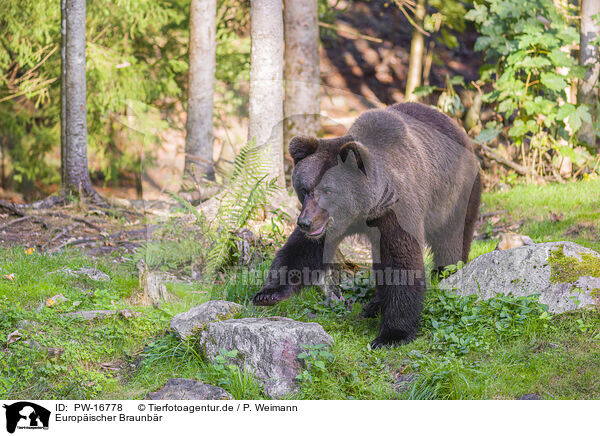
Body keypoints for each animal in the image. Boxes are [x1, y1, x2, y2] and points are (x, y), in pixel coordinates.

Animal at [251, 102, 480, 348]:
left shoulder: (396, 211)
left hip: (457, 193)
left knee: (451, 240)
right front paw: (268, 293)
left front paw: (392, 334)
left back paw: (446, 272)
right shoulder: (331, 225)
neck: (364, 210)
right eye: (305, 189)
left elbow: (402, 261)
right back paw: (374, 304)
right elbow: (302, 251)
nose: (305, 223)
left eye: (328, 191)